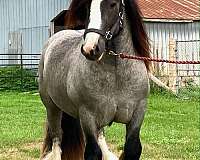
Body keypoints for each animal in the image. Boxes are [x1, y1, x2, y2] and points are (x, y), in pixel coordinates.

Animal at [39, 0, 150, 159]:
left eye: (113, 4)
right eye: (87, 7)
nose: (90, 48)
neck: (117, 77)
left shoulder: (138, 112)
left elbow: (132, 147)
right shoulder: (88, 116)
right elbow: (93, 151)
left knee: (101, 137)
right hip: (52, 108)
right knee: (57, 140)